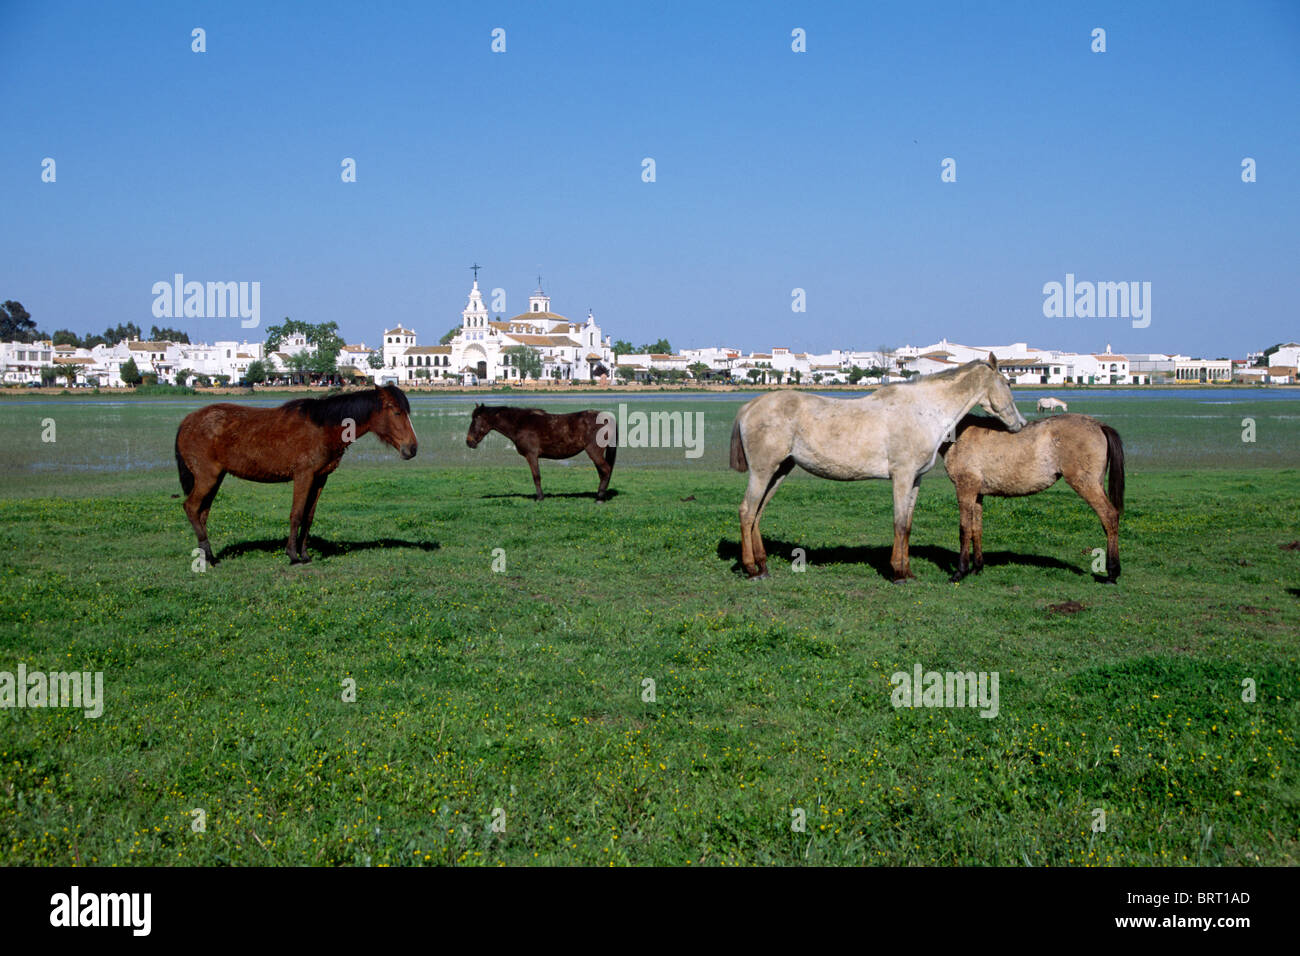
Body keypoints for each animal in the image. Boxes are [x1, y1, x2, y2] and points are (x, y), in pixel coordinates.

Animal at [175, 384, 418, 565]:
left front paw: (305, 554)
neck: (323, 427)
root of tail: (188, 421)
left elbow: (308, 517)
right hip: (207, 478)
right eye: (396, 411)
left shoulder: (320, 478)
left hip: (215, 479)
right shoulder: (304, 476)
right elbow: (297, 514)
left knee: (202, 513)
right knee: (191, 508)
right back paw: (208, 557)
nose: (412, 448)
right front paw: (292, 555)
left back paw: (207, 555)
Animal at [466, 404, 617, 501]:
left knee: (606, 470)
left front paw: (539, 497)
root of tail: (606, 418)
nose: (469, 442)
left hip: (594, 452)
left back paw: (600, 498)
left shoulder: (531, 455)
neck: (520, 424)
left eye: (476, 419)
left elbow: (536, 477)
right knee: (603, 472)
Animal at [729, 355, 1026, 581]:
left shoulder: (915, 480)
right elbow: (898, 523)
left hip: (779, 471)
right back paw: (751, 568)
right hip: (763, 472)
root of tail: (748, 407)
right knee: (746, 511)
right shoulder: (902, 477)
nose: (1020, 424)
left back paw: (763, 567)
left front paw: (908, 572)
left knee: (757, 513)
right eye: (1007, 382)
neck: (923, 410)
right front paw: (897, 574)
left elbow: (907, 525)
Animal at [941, 412, 1124, 583]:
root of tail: (1099, 425)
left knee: (1109, 516)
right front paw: (976, 568)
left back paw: (1112, 574)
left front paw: (959, 572)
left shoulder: (965, 489)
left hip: (1086, 484)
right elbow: (976, 529)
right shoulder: (977, 494)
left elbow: (964, 530)